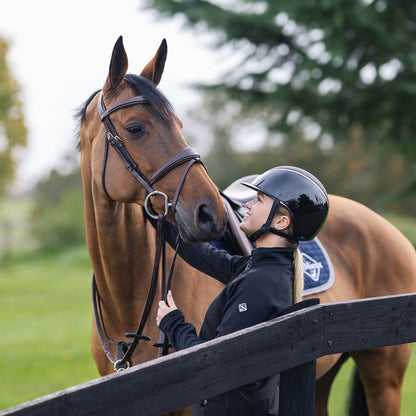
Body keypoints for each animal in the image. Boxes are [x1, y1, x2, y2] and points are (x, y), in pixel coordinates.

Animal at [76, 36, 416, 416]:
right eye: (135, 128)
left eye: (179, 125)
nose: (209, 213)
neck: (128, 301)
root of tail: (386, 227)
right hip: (318, 375)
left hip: (384, 376)